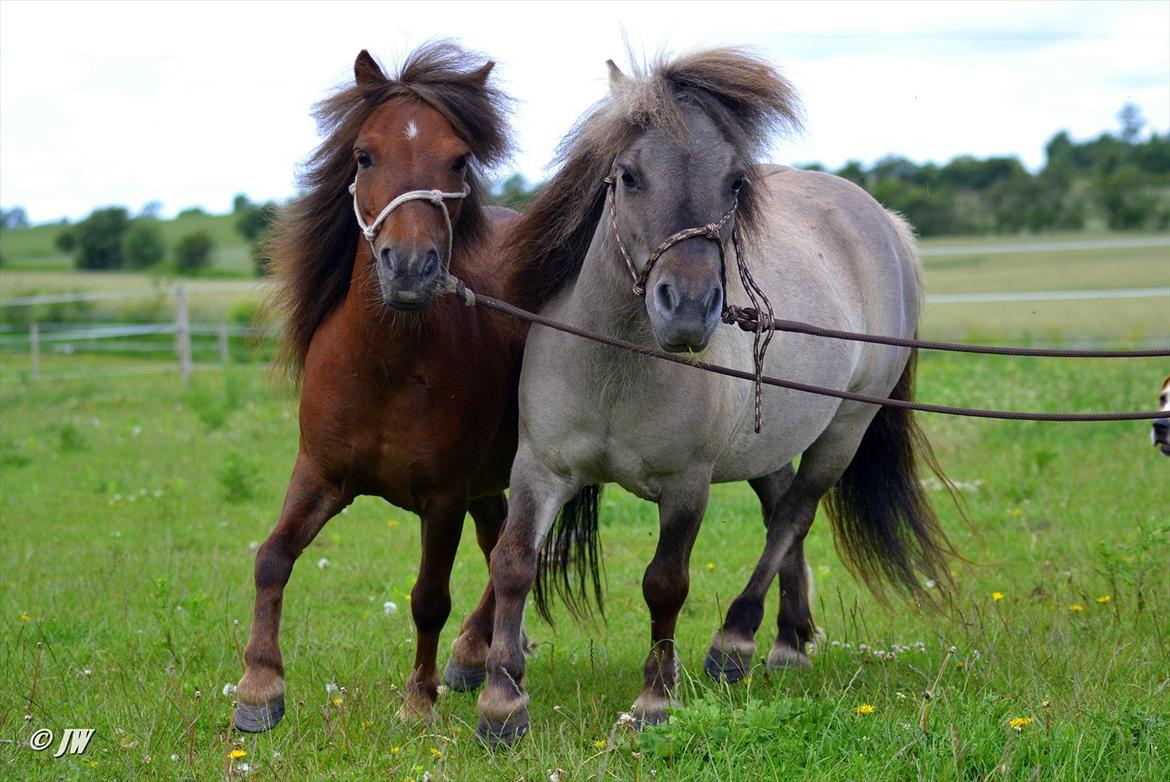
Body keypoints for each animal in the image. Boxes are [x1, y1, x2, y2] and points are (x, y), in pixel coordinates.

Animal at [231, 41, 531, 725]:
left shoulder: (443, 498)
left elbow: (429, 597)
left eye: (459, 158)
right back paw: (478, 651)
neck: (386, 366)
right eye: (365, 154)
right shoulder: (319, 472)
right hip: (487, 481)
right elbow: (271, 558)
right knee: (497, 542)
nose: (411, 268)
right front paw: (260, 687)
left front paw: (418, 701)